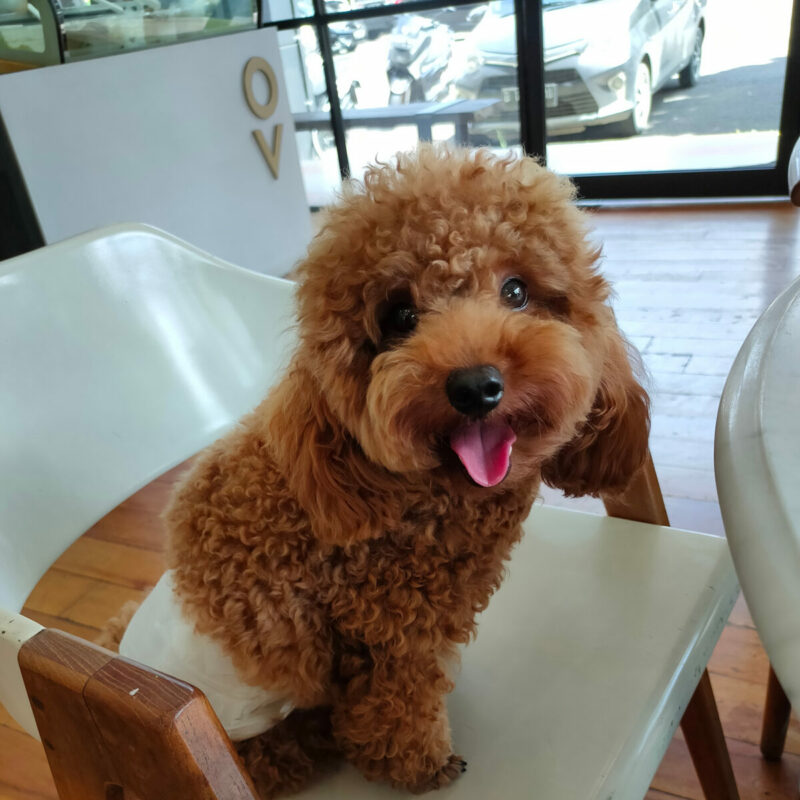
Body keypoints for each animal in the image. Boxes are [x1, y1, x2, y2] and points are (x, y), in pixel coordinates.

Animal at [119, 144, 648, 792]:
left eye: (517, 291)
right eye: (399, 315)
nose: (476, 386)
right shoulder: (387, 639)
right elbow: (397, 710)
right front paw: (420, 766)